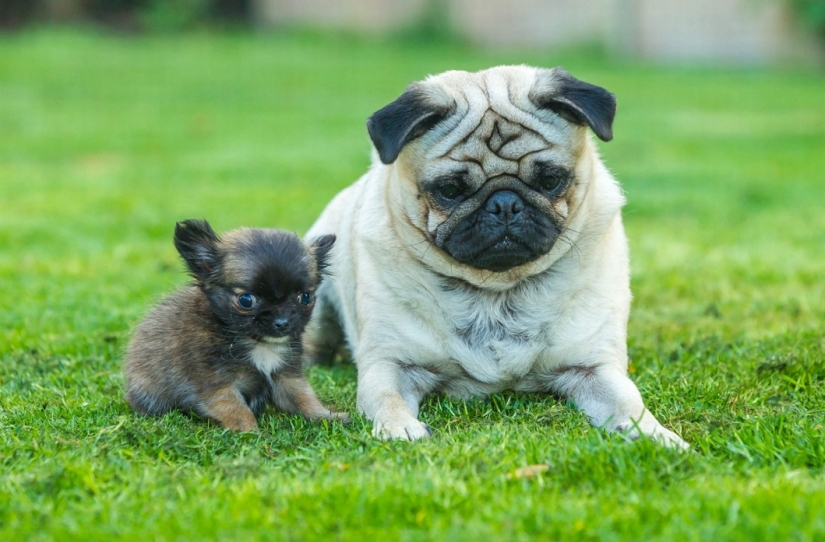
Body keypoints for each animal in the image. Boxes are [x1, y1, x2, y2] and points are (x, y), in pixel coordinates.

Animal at [123, 220, 348, 434]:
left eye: (306, 297)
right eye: (246, 300)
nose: (282, 322)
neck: (258, 344)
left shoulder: (287, 378)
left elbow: (304, 399)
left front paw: (328, 416)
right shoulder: (218, 387)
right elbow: (238, 411)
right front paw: (252, 434)